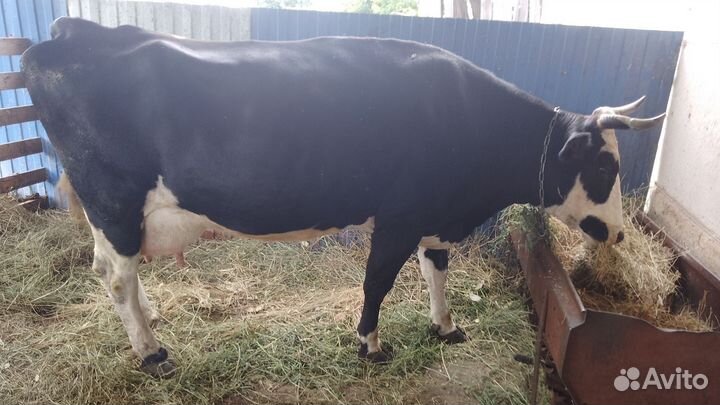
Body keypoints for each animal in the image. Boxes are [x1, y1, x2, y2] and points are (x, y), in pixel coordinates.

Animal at [22, 17, 665, 378]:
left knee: (116, 274)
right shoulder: (400, 214)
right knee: (116, 277)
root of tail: (71, 31)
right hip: (114, 199)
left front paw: (445, 326)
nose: (620, 232)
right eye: (603, 164)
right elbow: (378, 281)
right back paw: (152, 353)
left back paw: (151, 322)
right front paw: (370, 343)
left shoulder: (434, 216)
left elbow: (437, 270)